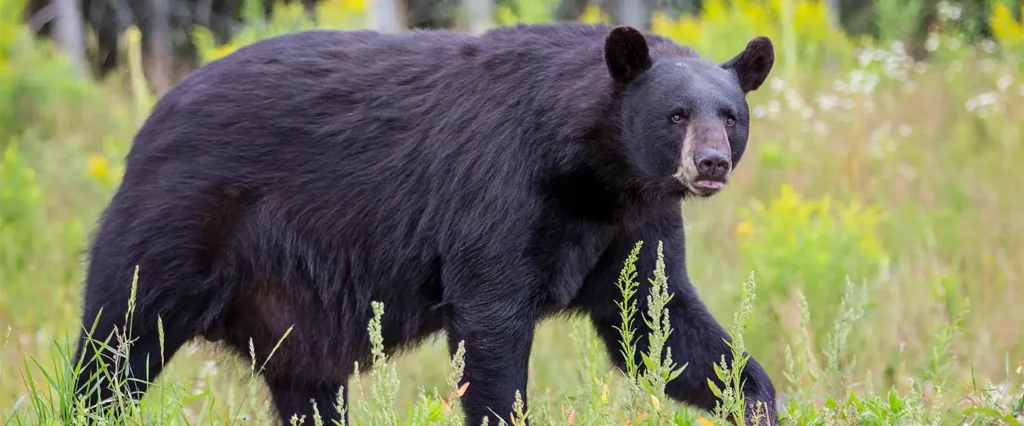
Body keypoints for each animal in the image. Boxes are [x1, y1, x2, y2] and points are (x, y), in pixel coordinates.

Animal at [70, 22, 777, 426]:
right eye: (676, 114)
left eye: (730, 115)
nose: (711, 163)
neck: (594, 173)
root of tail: (150, 122)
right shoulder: (497, 188)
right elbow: (491, 320)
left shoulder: (635, 221)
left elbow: (658, 321)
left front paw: (757, 401)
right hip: (173, 230)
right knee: (115, 346)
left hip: (289, 309)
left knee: (310, 391)